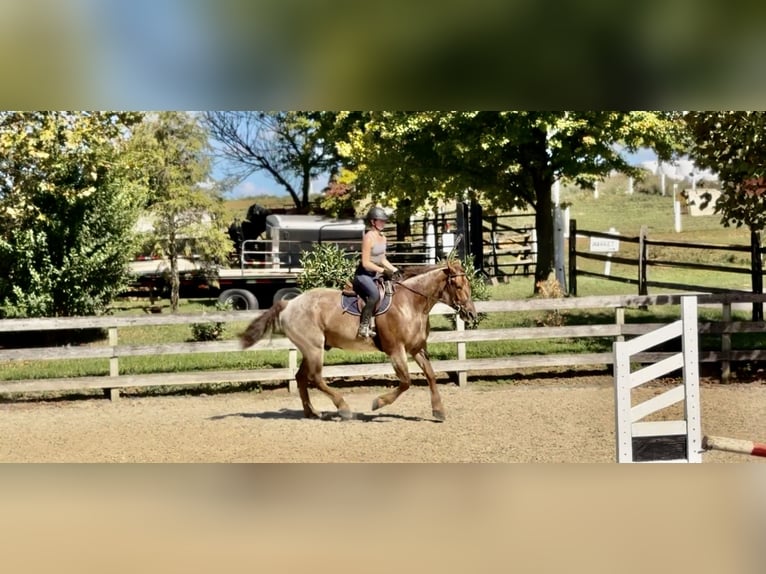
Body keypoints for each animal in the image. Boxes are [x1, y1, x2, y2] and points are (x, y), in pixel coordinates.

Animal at [240, 259, 478, 421]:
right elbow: (406, 382)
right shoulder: (396, 350)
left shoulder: (417, 349)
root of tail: (289, 304)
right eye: (458, 286)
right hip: (314, 348)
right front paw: (378, 403)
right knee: (315, 378)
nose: (471, 315)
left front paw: (438, 410)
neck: (411, 303)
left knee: (300, 377)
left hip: (312, 349)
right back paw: (343, 408)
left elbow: (430, 375)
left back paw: (311, 412)